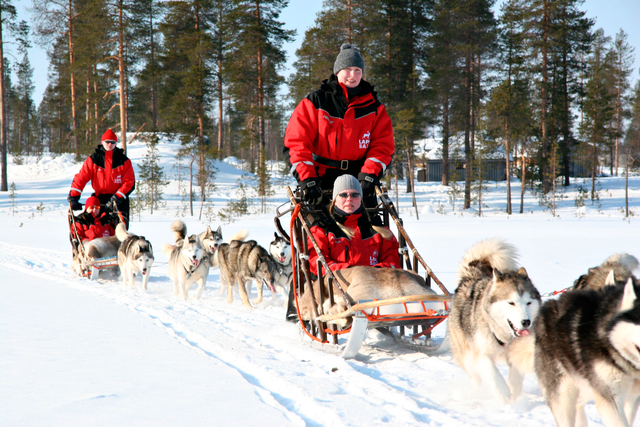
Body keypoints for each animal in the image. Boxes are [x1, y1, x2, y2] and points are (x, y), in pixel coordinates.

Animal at [448, 241, 544, 404]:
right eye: (511, 303)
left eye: (529, 303)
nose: (526, 322)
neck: (505, 336)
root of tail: (472, 277)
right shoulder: (481, 353)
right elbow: (492, 371)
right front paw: (503, 392)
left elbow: (515, 376)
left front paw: (514, 395)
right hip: (467, 356)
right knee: (475, 377)